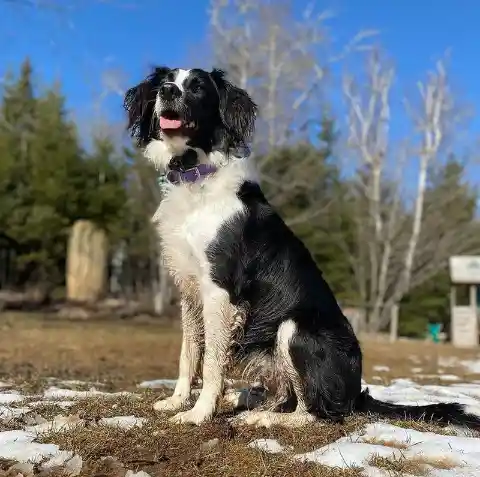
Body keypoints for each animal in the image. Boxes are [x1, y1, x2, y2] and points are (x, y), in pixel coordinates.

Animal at [124, 67, 480, 428]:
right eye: (165, 81)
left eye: (197, 88)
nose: (168, 91)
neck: (196, 175)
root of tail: (356, 392)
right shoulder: (189, 289)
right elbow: (188, 352)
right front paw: (176, 401)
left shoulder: (219, 289)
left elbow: (211, 360)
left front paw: (199, 413)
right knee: (286, 395)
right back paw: (252, 406)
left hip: (294, 328)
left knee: (313, 411)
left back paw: (264, 419)